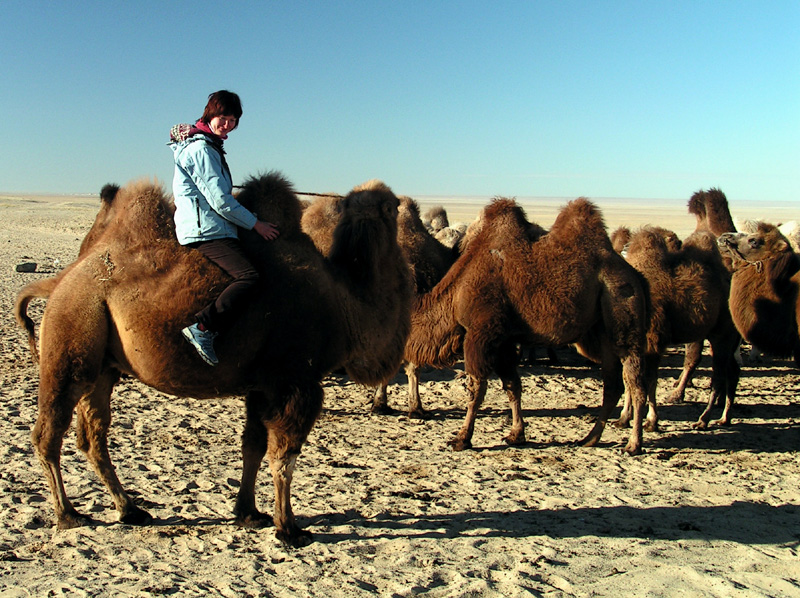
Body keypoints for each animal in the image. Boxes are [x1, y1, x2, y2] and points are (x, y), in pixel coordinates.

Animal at [14, 173, 412, 548]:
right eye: (395, 207)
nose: (407, 206)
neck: (346, 299)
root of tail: (63, 279)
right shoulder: (297, 381)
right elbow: (284, 457)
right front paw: (289, 529)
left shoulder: (263, 385)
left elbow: (253, 446)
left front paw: (249, 513)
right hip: (72, 335)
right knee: (48, 433)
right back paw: (68, 514)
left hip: (104, 367)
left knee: (93, 436)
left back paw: (130, 509)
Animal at [404, 199, 652, 458]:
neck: (455, 293)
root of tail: (635, 275)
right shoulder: (502, 341)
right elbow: (513, 386)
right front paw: (516, 434)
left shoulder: (480, 334)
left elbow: (476, 389)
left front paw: (462, 439)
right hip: (602, 329)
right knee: (612, 384)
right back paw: (590, 438)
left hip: (623, 308)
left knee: (635, 382)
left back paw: (633, 444)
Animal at [612, 227, 744, 428]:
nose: (625, 247)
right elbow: (628, 380)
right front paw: (623, 418)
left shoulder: (653, 342)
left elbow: (649, 381)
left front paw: (651, 421)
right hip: (728, 337)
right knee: (732, 371)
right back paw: (724, 418)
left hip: (722, 336)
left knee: (719, 375)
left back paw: (703, 419)